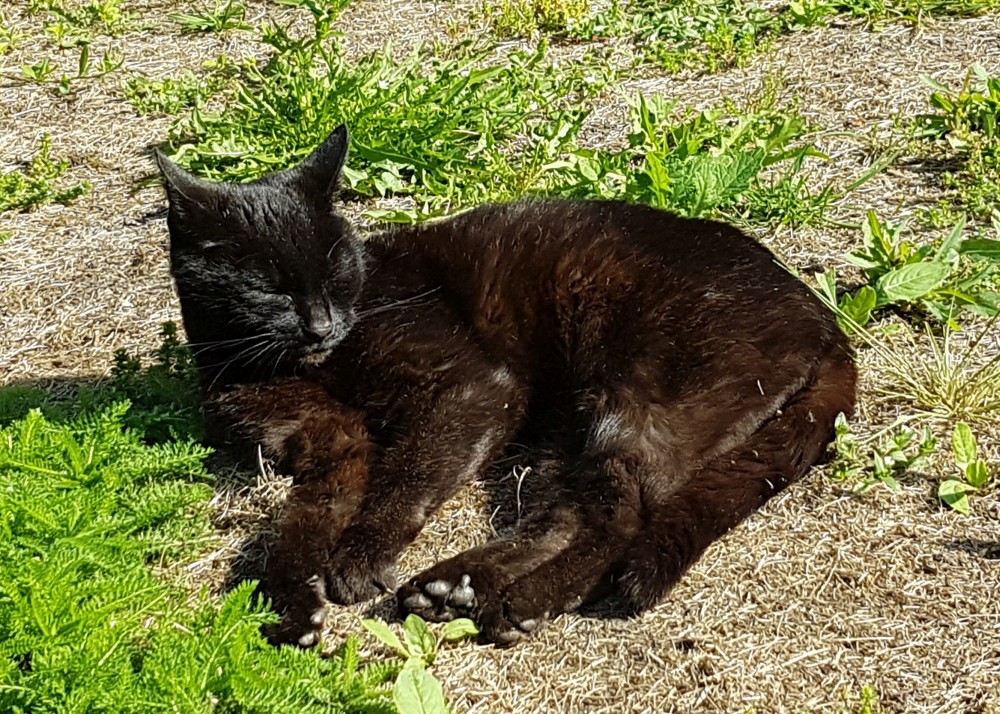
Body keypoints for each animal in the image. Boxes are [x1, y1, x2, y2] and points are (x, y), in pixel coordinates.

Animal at [155, 124, 856, 648]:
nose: (322, 324)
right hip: (570, 428)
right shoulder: (332, 444)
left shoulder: (472, 388)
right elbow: (297, 525)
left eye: (337, 271)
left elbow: (408, 474)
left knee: (620, 518)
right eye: (271, 288)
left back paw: (518, 603)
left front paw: (357, 560)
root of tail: (826, 320)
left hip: (636, 400)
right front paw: (290, 608)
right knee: (565, 515)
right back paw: (455, 588)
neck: (300, 366)